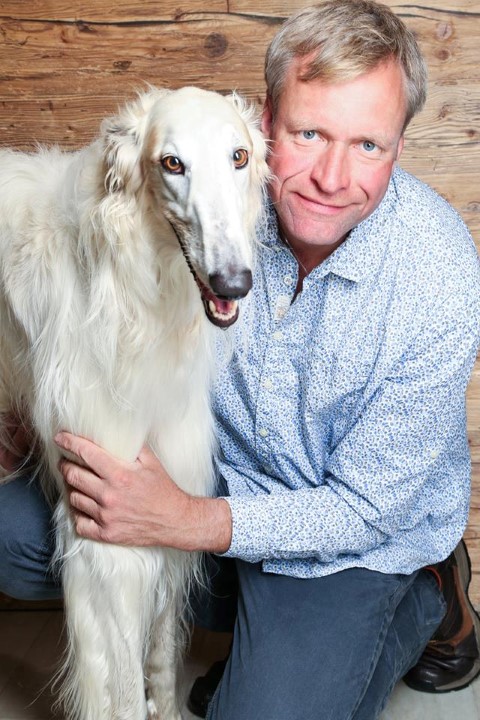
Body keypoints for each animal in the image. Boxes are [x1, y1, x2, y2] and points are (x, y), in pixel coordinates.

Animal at [0, 86, 268, 719]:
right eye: (172, 163)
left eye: (240, 156)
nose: (233, 283)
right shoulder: (102, 531)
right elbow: (120, 690)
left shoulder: (166, 490)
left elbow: (162, 661)